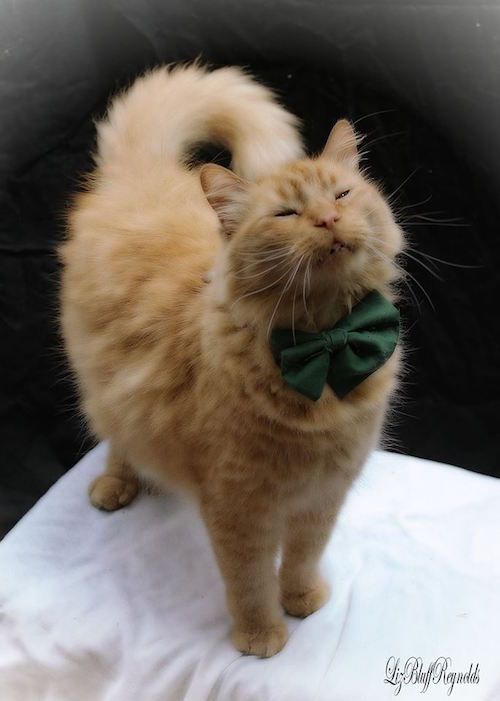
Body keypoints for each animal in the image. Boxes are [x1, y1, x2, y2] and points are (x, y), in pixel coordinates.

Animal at [61, 64, 402, 656]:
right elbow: (249, 582)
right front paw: (261, 636)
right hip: (103, 391)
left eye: (342, 193)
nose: (328, 218)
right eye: (287, 214)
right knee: (117, 442)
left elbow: (302, 559)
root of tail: (147, 173)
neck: (323, 348)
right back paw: (114, 487)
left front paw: (302, 601)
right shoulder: (239, 509)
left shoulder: (323, 496)